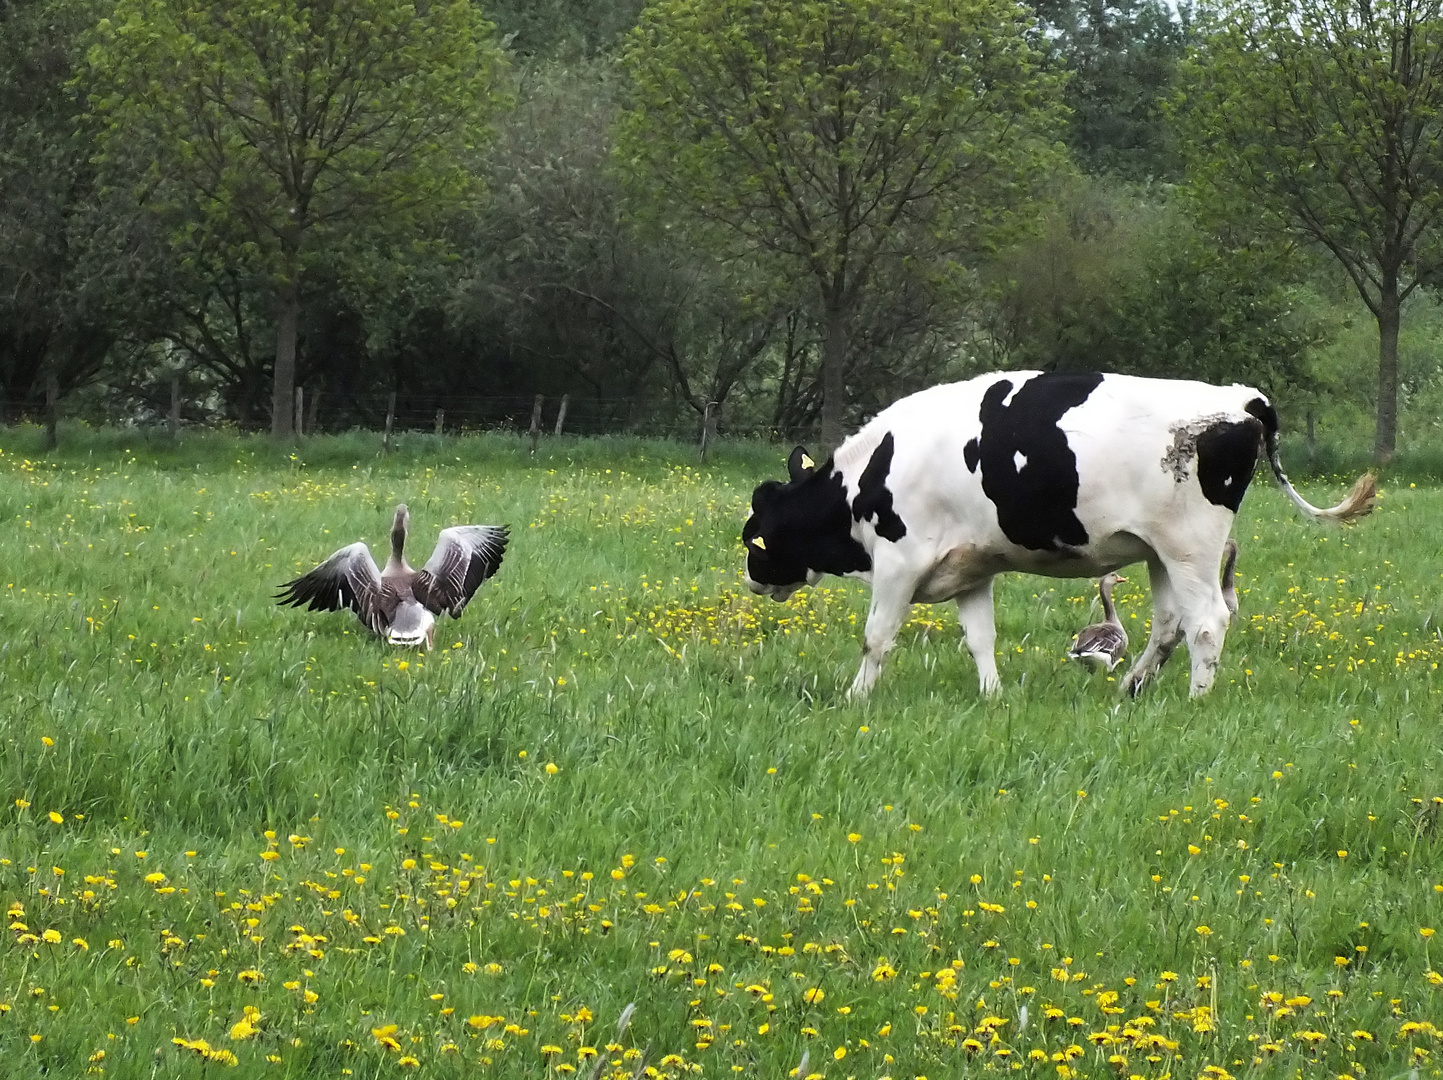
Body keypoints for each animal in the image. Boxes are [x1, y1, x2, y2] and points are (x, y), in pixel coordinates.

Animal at [744, 372, 1373, 701]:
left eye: (757, 538)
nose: (751, 578)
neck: (870, 475)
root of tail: (1240, 399)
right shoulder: (972, 569)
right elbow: (981, 639)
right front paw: (993, 696)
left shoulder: (899, 561)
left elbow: (875, 638)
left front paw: (857, 698)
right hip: (1160, 553)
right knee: (1168, 624)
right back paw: (1131, 688)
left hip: (1191, 547)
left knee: (1207, 623)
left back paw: (1197, 699)